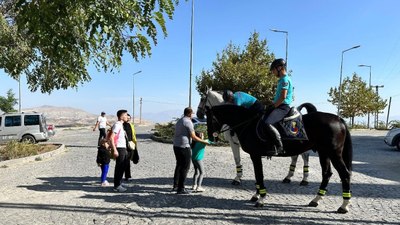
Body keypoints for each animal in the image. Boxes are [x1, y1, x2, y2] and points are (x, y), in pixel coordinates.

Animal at [208, 103, 352, 214]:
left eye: (210, 118)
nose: (211, 137)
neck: (248, 124)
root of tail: (338, 119)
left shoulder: (255, 155)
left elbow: (259, 175)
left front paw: (261, 199)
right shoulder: (255, 156)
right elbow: (257, 176)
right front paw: (257, 195)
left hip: (334, 153)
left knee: (344, 174)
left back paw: (344, 205)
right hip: (324, 153)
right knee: (327, 173)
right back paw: (315, 200)